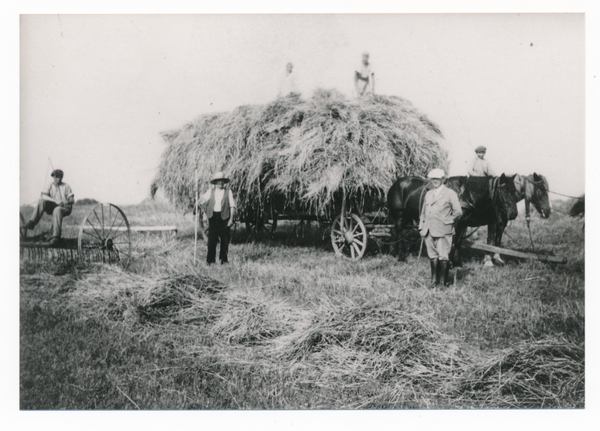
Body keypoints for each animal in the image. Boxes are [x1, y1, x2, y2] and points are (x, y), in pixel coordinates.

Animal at [386, 174, 516, 268]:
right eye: (504, 191)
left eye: (515, 191)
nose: (513, 213)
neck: (464, 194)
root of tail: (395, 184)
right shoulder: (455, 223)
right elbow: (452, 242)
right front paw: (450, 262)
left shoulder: (462, 223)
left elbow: (457, 242)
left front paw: (457, 263)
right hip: (399, 215)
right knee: (399, 233)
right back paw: (401, 257)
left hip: (406, 217)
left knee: (394, 232)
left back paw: (394, 252)